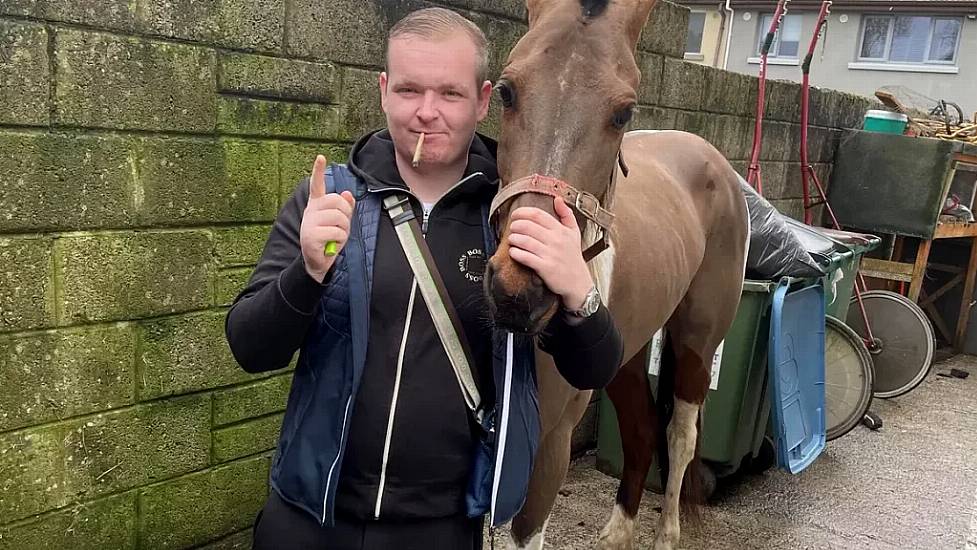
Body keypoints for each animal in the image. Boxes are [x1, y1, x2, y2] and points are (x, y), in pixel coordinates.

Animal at [484, 1, 752, 550]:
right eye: (506, 90)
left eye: (623, 112)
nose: (521, 290)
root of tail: (712, 158)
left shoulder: (549, 446)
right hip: (627, 350)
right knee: (641, 430)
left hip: (696, 343)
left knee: (680, 436)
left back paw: (667, 534)